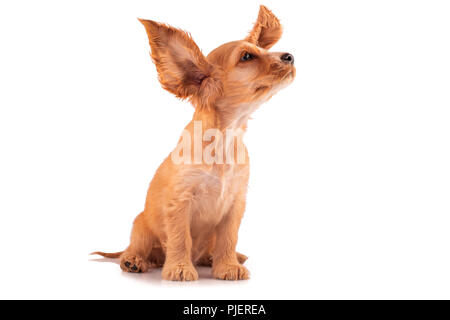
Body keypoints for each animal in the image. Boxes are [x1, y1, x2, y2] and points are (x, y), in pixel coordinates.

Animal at [92, 5, 296, 280]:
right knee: (134, 248)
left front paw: (228, 265)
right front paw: (179, 268)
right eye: (246, 57)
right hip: (141, 227)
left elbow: (228, 238)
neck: (225, 138)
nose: (290, 56)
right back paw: (134, 261)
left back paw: (222, 258)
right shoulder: (180, 201)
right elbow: (180, 238)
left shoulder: (235, 203)